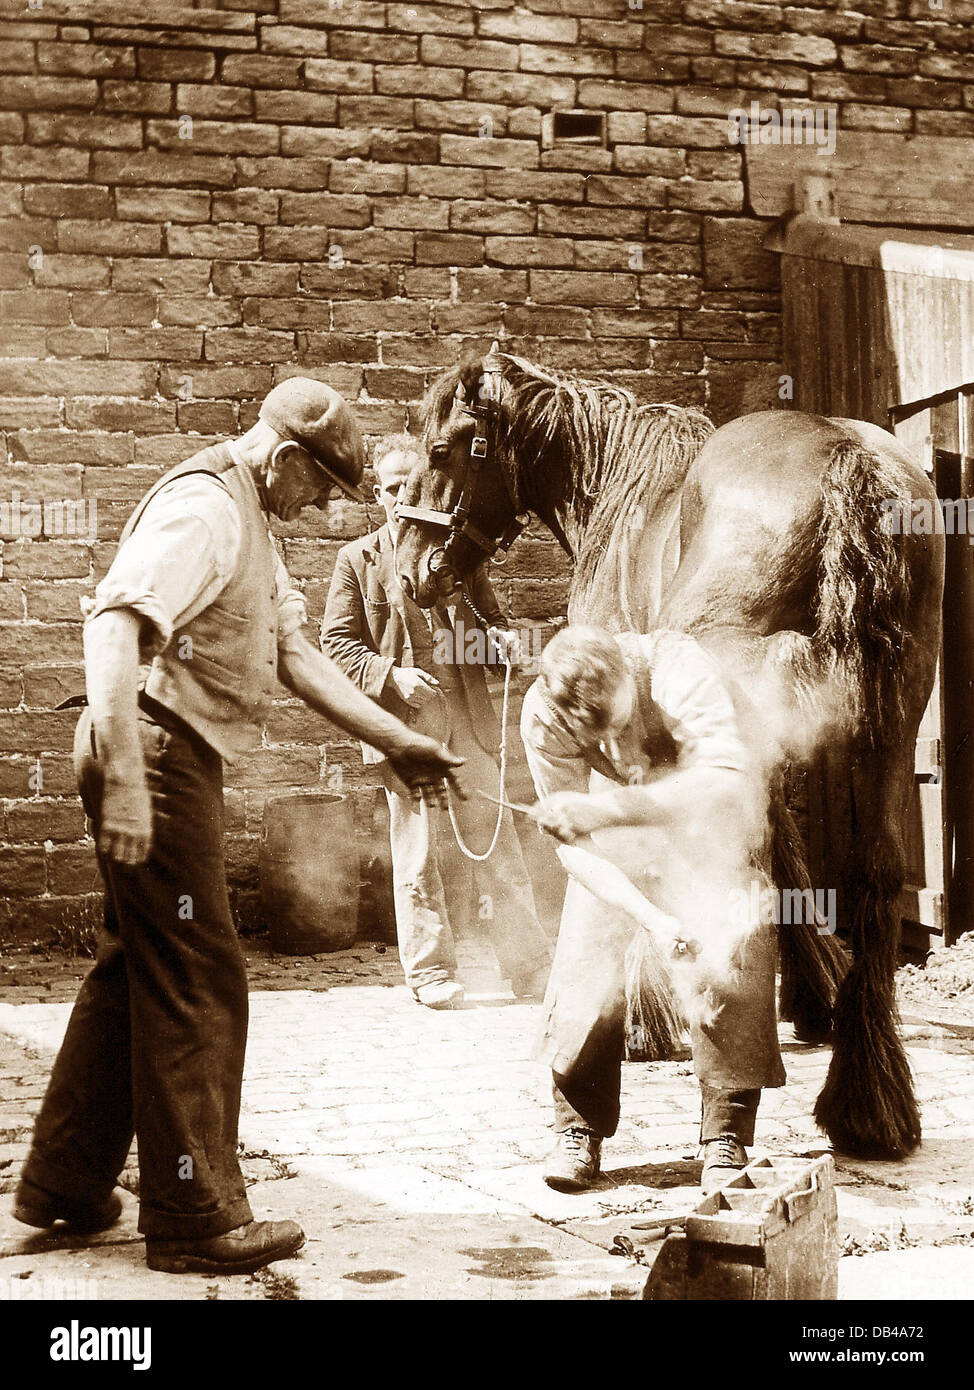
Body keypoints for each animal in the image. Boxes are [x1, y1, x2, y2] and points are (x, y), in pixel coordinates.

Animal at [394, 347, 944, 1162]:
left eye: (441, 451)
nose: (408, 569)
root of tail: (847, 459)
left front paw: (646, 1020)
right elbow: (785, 843)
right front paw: (813, 995)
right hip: (891, 717)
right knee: (873, 870)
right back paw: (869, 1102)